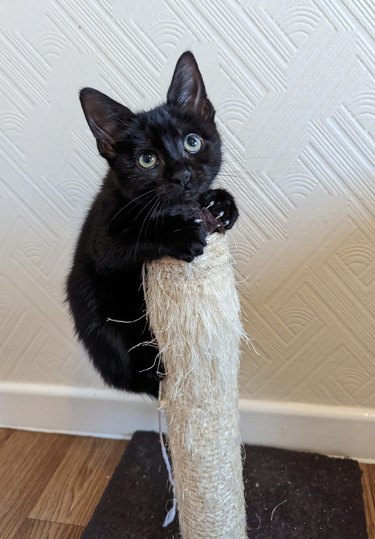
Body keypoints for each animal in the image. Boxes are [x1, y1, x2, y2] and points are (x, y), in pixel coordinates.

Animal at [66, 51, 239, 396]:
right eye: (147, 160)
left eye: (192, 142)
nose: (183, 175)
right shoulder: (101, 236)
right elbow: (129, 243)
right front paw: (180, 235)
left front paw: (221, 204)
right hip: (98, 317)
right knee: (130, 376)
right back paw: (154, 371)